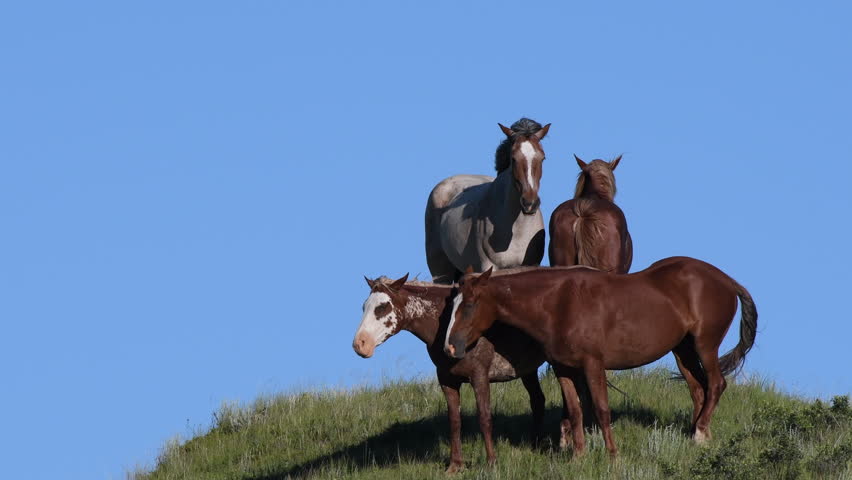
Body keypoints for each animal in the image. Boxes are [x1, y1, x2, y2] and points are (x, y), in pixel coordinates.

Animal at [352, 273, 547, 473]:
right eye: (364, 307)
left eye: (382, 307)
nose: (360, 344)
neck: (448, 327)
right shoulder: (447, 380)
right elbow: (454, 421)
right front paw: (455, 465)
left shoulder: (479, 376)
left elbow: (484, 418)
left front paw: (491, 463)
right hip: (528, 370)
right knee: (537, 401)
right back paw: (536, 445)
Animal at [424, 118, 550, 284]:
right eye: (513, 158)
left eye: (543, 158)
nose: (530, 203)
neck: (516, 232)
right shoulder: (487, 267)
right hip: (440, 271)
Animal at [443, 257, 757, 457]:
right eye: (452, 303)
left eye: (469, 305)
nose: (450, 347)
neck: (557, 303)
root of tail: (726, 280)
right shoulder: (564, 368)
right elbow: (575, 410)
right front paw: (578, 456)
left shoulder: (593, 364)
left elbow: (602, 409)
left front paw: (612, 454)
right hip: (683, 350)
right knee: (698, 390)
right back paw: (697, 434)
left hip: (705, 345)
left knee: (716, 384)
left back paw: (701, 433)